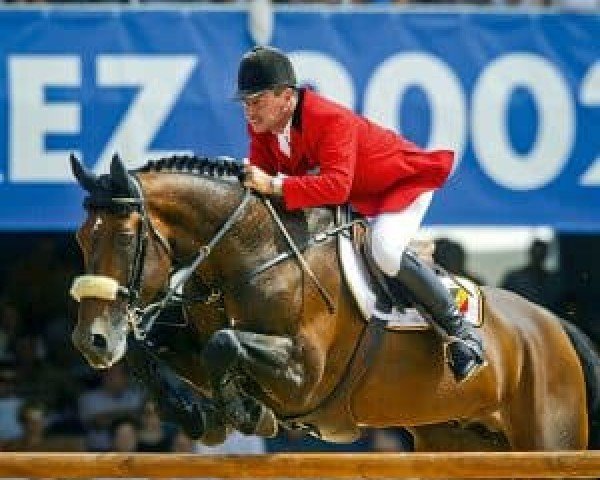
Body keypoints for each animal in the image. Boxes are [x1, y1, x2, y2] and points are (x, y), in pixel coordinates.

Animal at [68, 153, 600, 450]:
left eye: (124, 237)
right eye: (79, 238)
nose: (92, 341)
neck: (252, 252)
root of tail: (552, 324)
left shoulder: (304, 373)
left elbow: (224, 344)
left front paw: (243, 413)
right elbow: (153, 351)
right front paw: (197, 416)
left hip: (549, 433)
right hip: (458, 437)